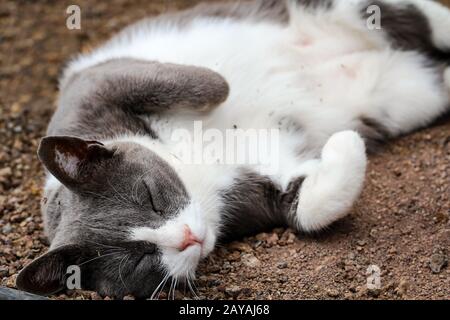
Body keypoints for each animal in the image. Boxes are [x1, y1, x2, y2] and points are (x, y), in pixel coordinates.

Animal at [15, 0, 448, 300]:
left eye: (151, 198)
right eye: (140, 259)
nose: (188, 237)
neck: (196, 173)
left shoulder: (93, 86)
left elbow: (213, 83)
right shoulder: (252, 194)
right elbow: (309, 209)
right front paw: (344, 142)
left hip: (345, 10)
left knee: (426, 19)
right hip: (416, 89)